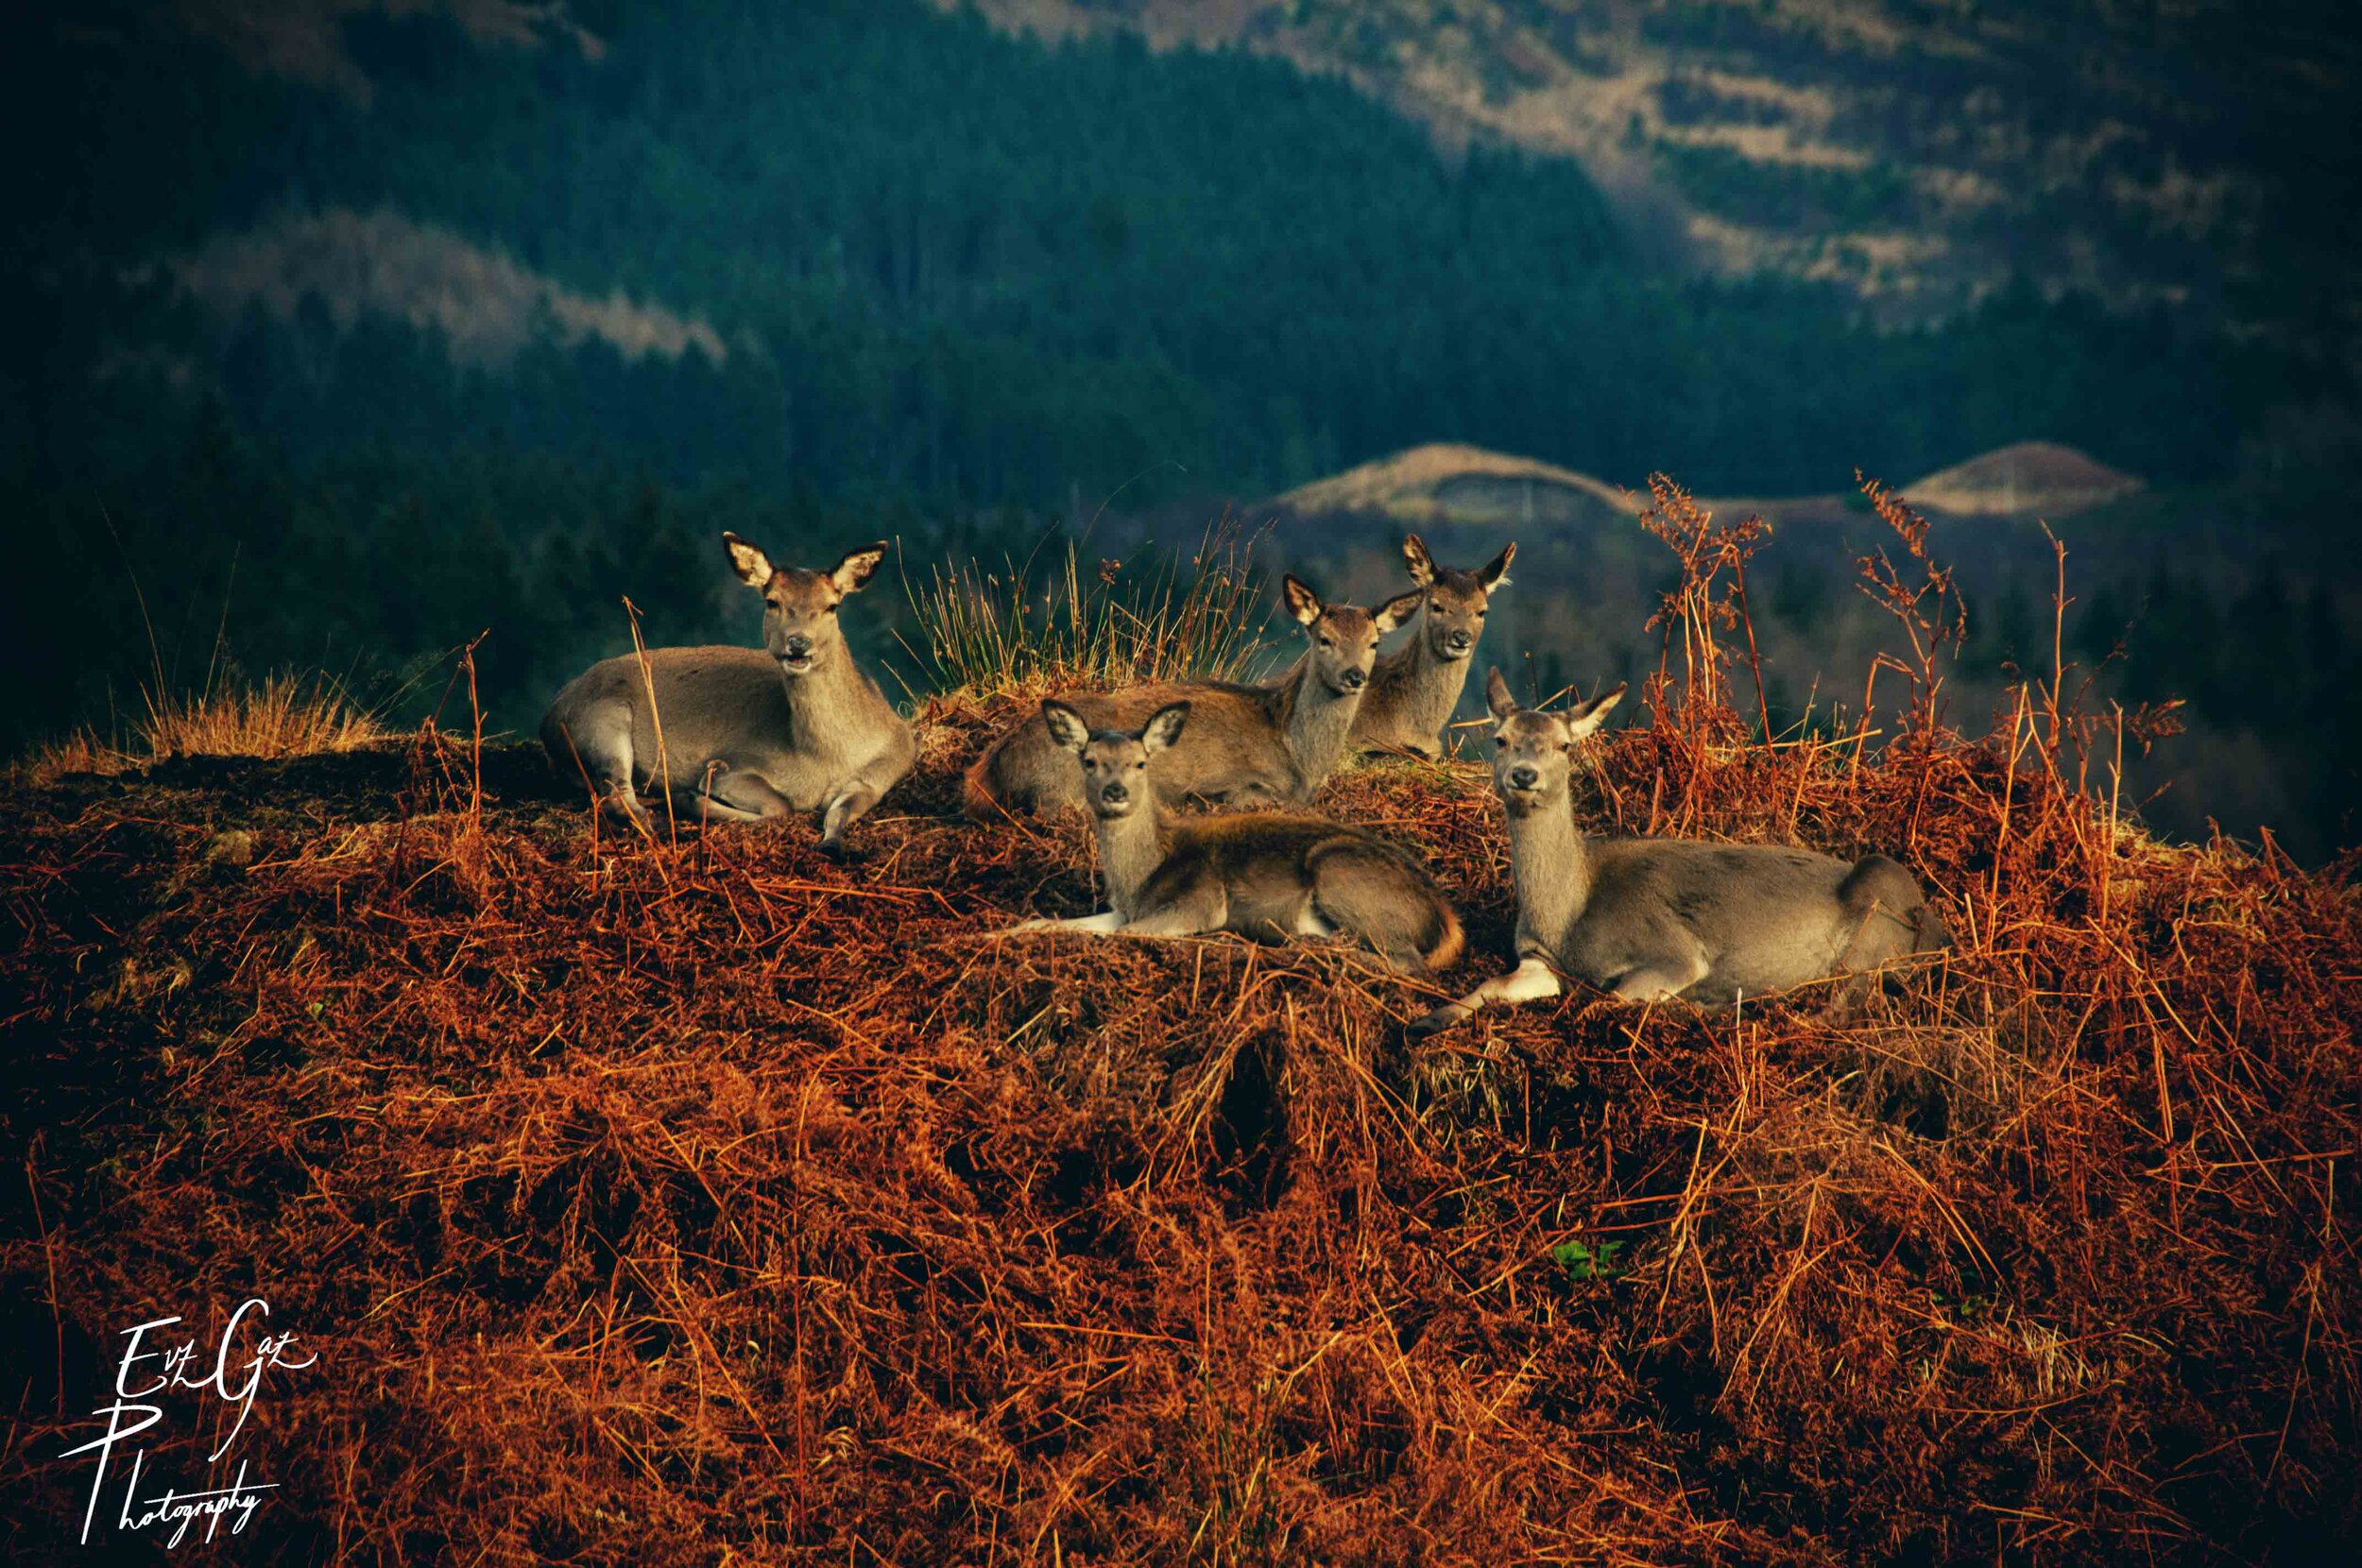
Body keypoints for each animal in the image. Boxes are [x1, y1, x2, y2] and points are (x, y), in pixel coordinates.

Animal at [539, 534, 914, 856]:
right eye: (772, 601)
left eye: (832, 606)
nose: (798, 643)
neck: (824, 759)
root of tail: (549, 716)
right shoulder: (731, 764)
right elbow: (781, 806)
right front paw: (692, 798)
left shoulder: (884, 771)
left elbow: (840, 811)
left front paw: (832, 844)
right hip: (602, 721)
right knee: (616, 796)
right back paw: (670, 815)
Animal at [962, 574, 1421, 819]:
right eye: (1323, 639)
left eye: (1374, 642)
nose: (1355, 676)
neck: (1298, 757)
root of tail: (988, 768)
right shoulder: (1236, 781)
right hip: (1061, 786)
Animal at [1007, 700, 1464, 972]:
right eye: (1089, 761)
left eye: (1140, 763)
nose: (1114, 792)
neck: (1141, 877)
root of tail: (1446, 919)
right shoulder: (1123, 910)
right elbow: (1046, 922)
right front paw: (1000, 934)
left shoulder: (1201, 901)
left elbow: (1122, 934)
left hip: (1339, 872)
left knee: (1409, 965)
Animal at [1409, 670, 1949, 1035]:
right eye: (1500, 739)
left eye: (1564, 746)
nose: (1524, 775)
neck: (1569, 914)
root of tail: (1942, 931)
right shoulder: (1540, 961)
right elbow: (1491, 986)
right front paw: (1426, 1021)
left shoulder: (1674, 953)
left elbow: (1604, 1001)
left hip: (1877, 921)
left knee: (1845, 1004)